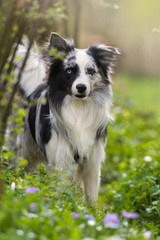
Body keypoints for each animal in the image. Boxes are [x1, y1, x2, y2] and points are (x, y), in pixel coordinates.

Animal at [11, 32, 119, 202]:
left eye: (91, 71)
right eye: (69, 71)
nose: (81, 87)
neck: (79, 109)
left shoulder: (92, 163)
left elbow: (91, 197)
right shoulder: (61, 161)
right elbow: (62, 194)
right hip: (21, 153)